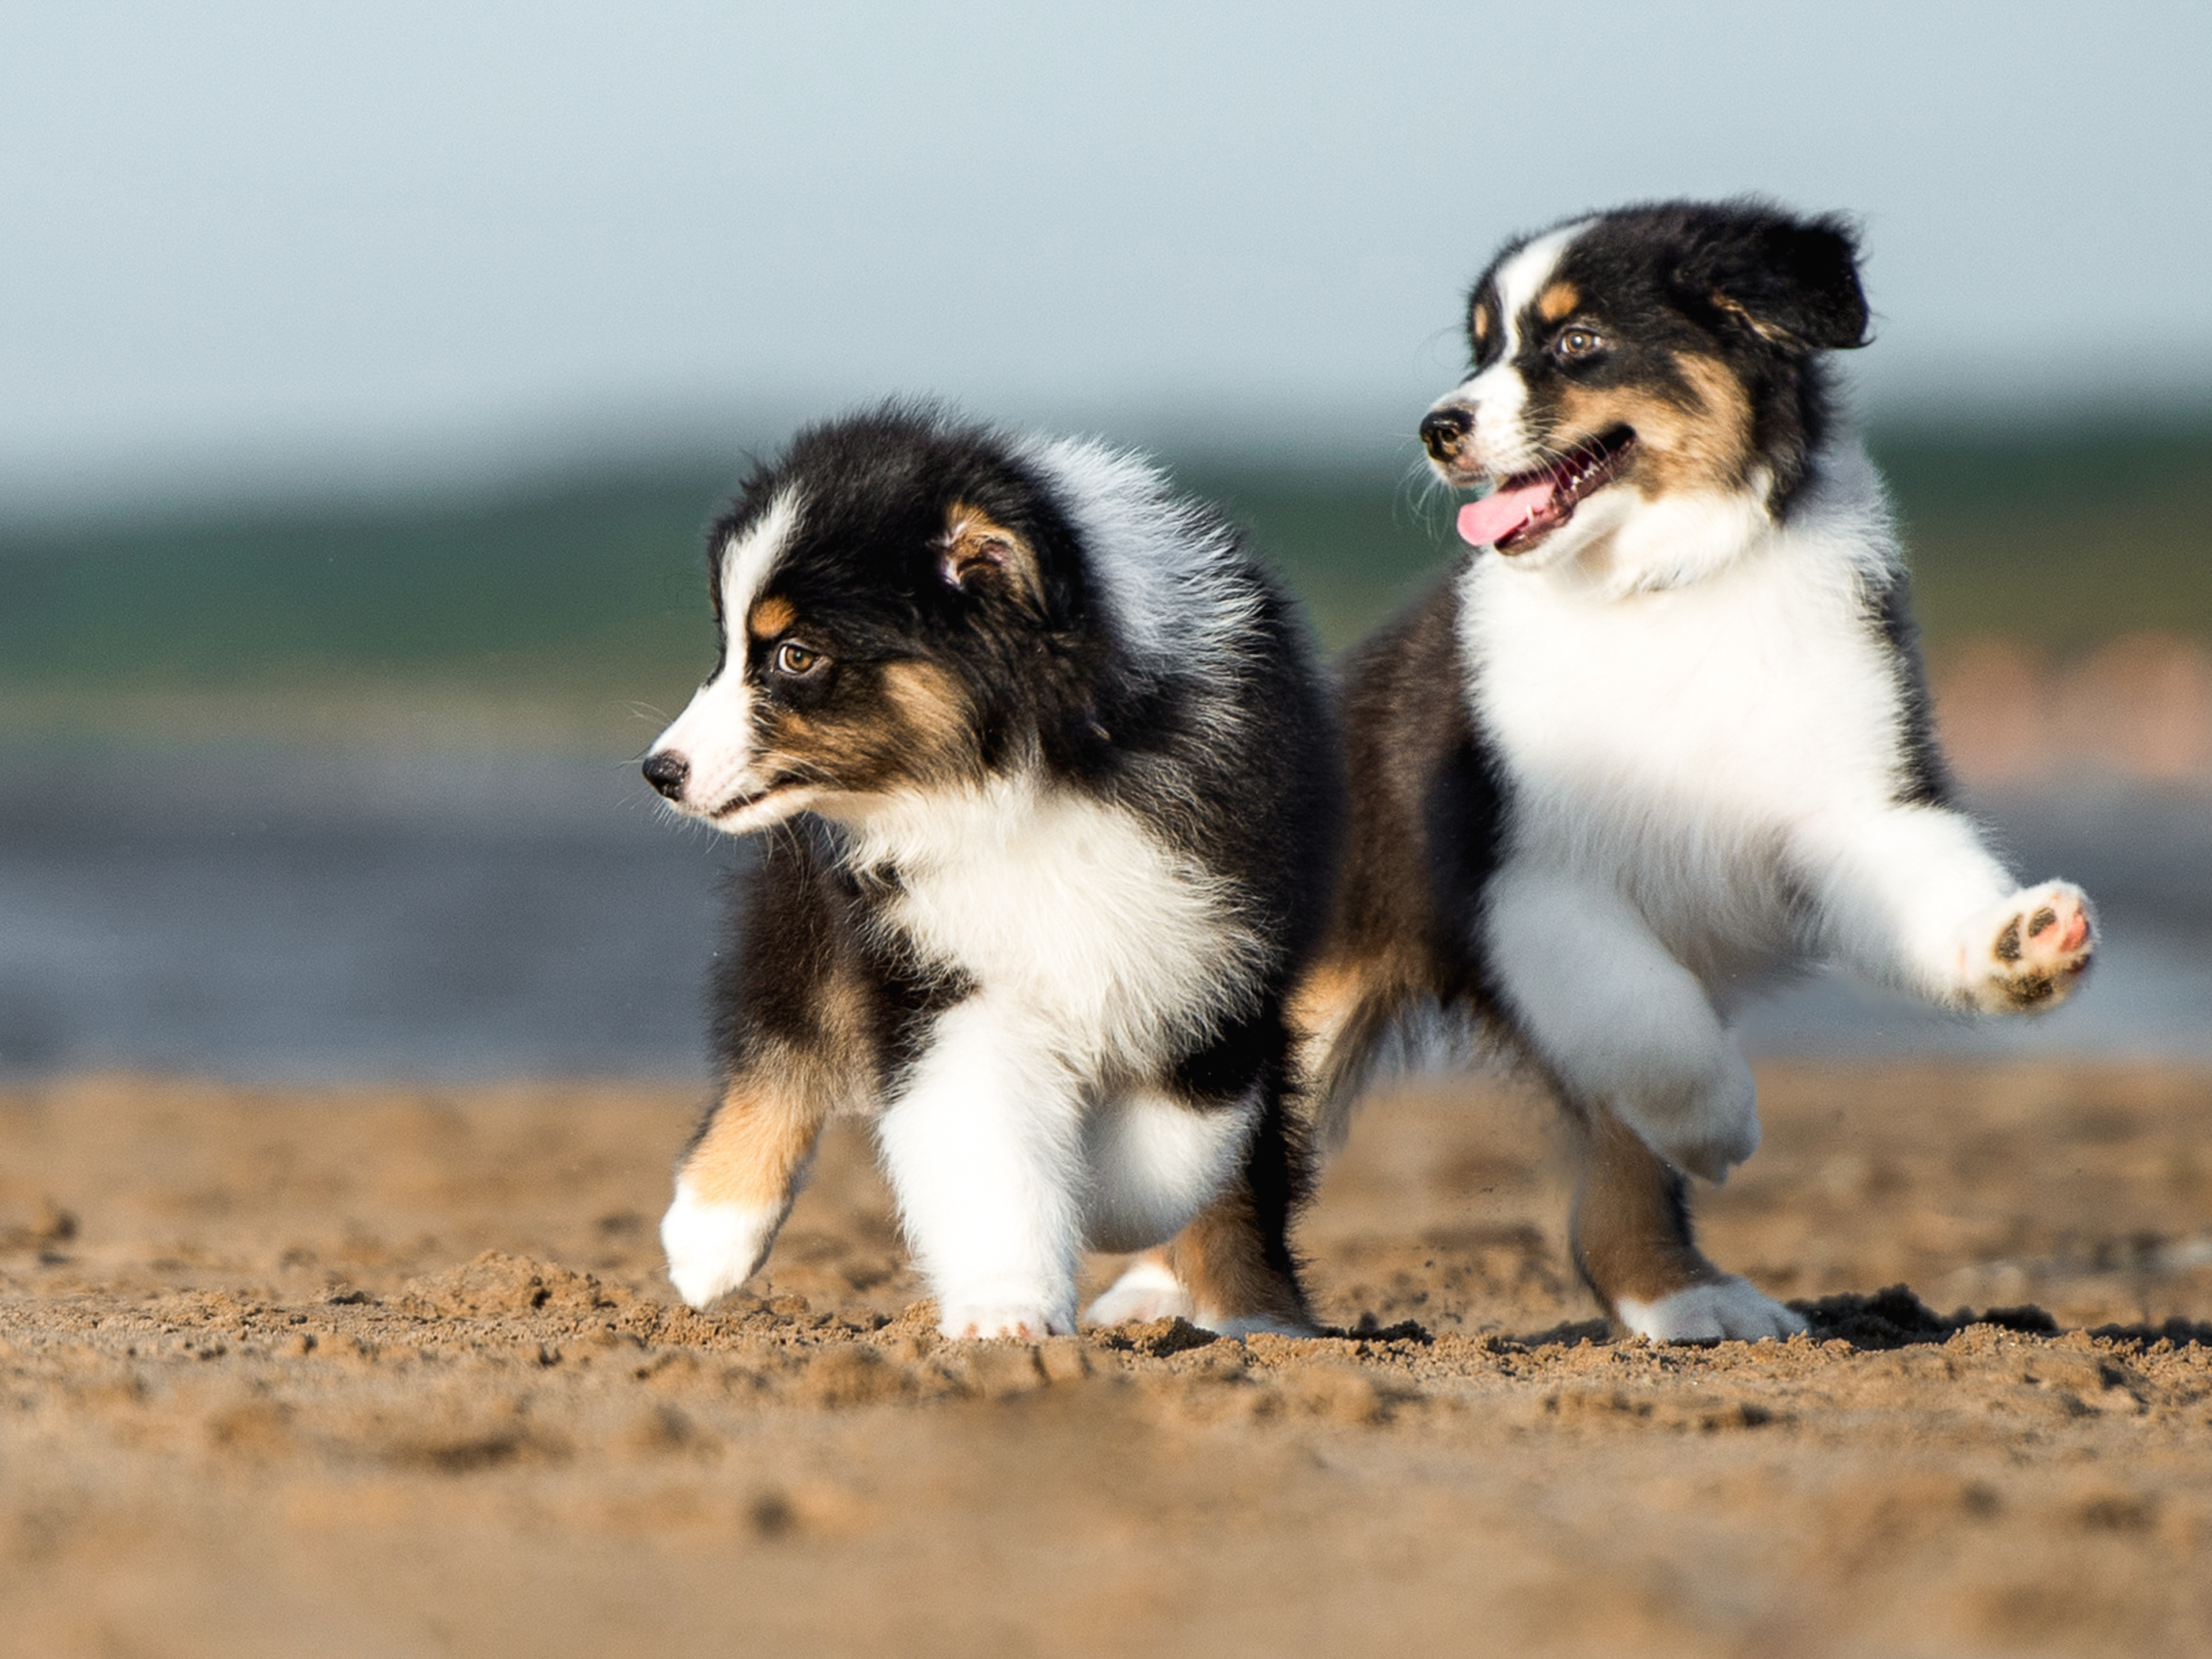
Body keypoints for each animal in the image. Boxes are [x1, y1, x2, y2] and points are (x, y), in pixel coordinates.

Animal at [637, 409, 1327, 1344]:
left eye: (794, 656)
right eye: (729, 648)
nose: (660, 771)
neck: (1026, 782)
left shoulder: (1222, 952)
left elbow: (1171, 1155)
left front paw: (1108, 1207)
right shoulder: (940, 972)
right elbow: (987, 1141)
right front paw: (1008, 1314)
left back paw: (1256, 1317)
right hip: (807, 905)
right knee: (781, 1038)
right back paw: (711, 1236)